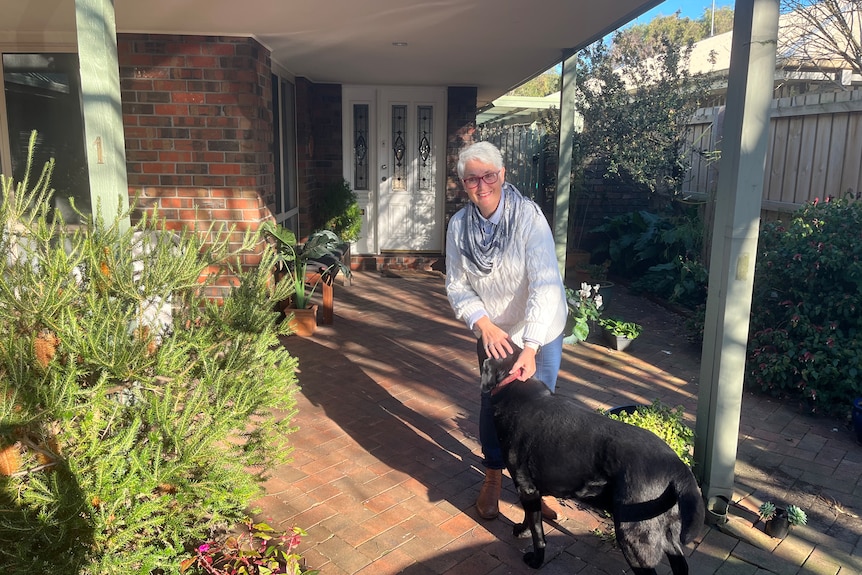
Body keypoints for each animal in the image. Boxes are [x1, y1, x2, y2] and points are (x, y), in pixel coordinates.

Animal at [482, 346, 704, 575]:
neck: (513, 386)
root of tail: (676, 465)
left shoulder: (526, 487)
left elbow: (538, 532)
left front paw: (536, 559)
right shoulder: (531, 489)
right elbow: (529, 517)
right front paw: (522, 530)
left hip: (633, 533)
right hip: (667, 529)